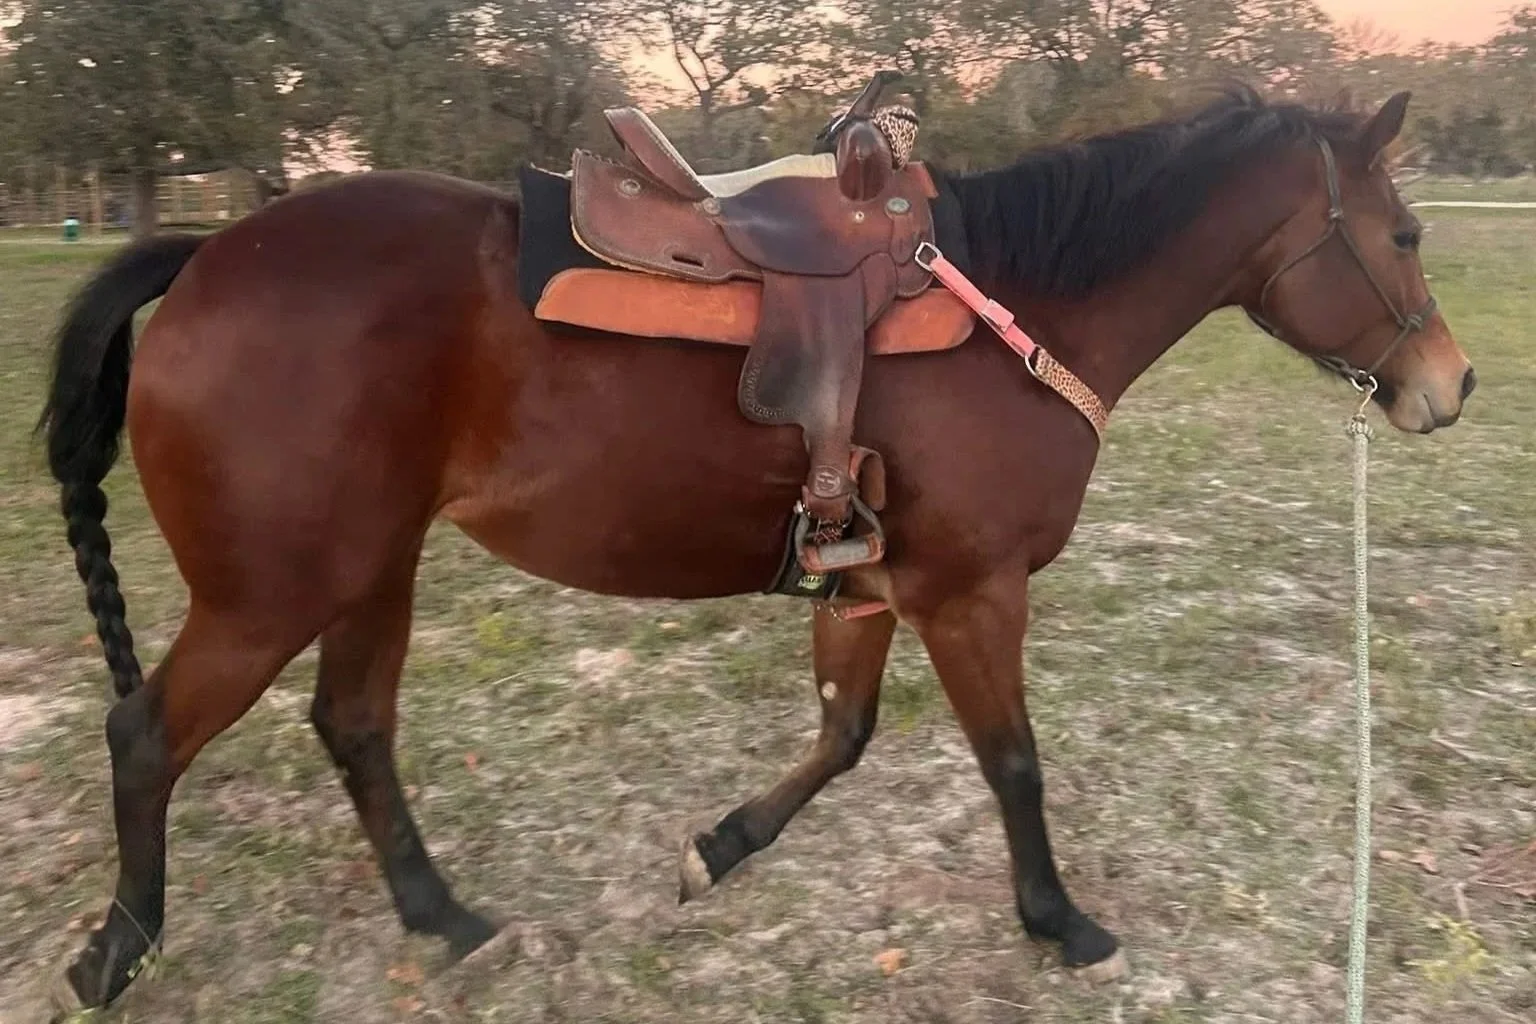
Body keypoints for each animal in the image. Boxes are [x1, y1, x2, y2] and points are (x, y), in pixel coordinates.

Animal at [36, 84, 1473, 1014]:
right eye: (1405, 235)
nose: (1450, 388)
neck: (1018, 301)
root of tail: (207, 255)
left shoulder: (871, 583)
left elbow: (841, 736)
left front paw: (721, 844)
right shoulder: (970, 594)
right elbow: (1012, 764)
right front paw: (1060, 920)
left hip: (369, 568)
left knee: (354, 726)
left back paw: (442, 919)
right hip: (267, 593)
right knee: (147, 736)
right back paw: (120, 952)